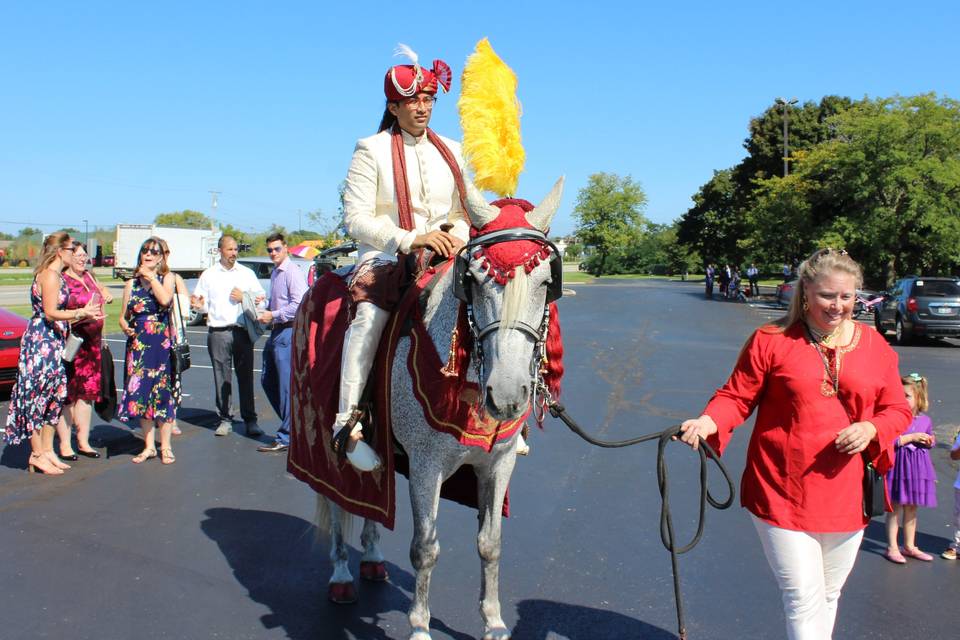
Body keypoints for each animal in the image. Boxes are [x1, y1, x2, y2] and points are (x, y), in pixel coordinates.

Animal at [318, 176, 568, 640]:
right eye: (474, 280)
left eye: (547, 282)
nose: (507, 394)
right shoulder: (425, 466)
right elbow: (425, 548)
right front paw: (419, 625)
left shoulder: (498, 464)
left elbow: (490, 543)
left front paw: (493, 621)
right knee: (337, 499)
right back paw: (341, 572)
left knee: (369, 499)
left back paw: (371, 557)